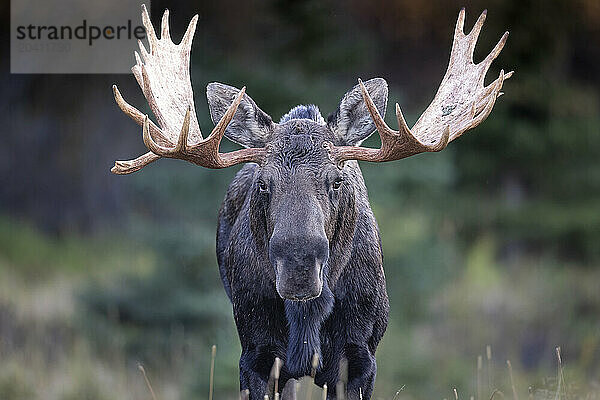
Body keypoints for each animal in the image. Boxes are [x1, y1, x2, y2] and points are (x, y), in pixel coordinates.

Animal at [110, 4, 508, 398]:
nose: (299, 266)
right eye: (264, 184)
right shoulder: (255, 355)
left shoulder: (360, 358)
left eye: (336, 180)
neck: (308, 315)